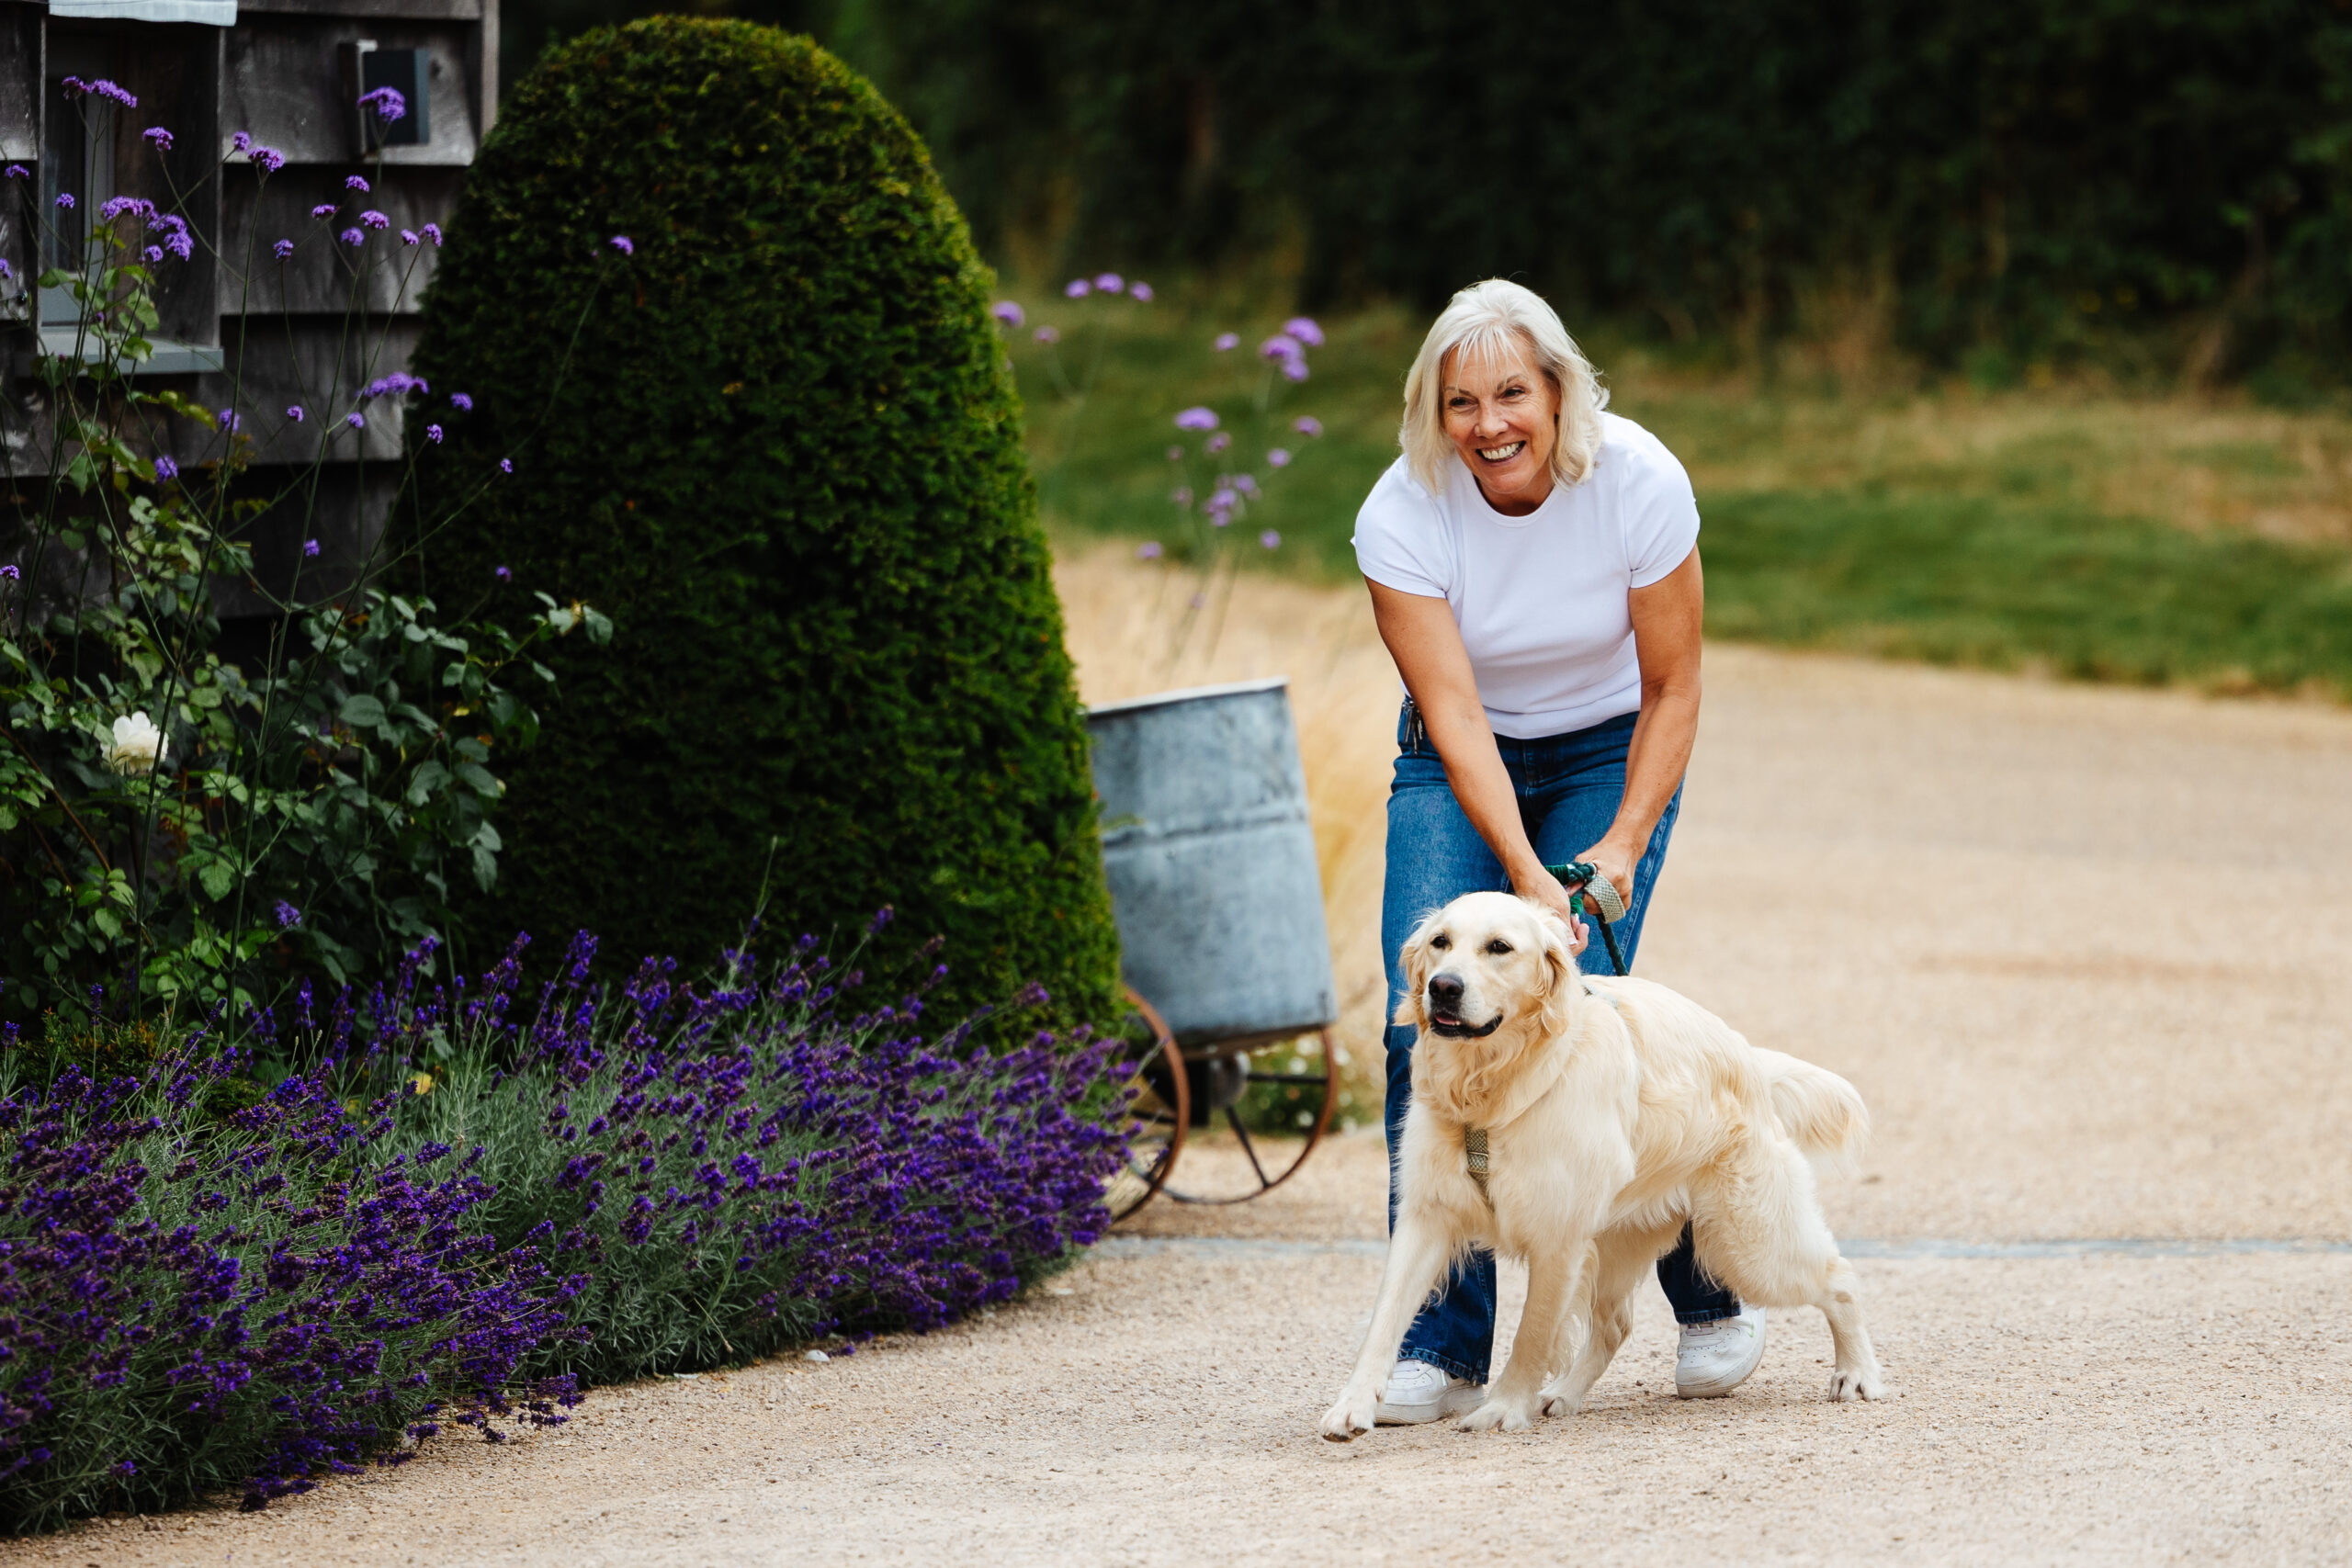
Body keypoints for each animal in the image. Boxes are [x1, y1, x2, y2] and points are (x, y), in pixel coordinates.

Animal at [1326, 888, 1891, 1438]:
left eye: (1499, 948)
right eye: (1440, 942)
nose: (1442, 987)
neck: (1495, 1091)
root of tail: (1749, 1059)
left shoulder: (1558, 1239)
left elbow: (1531, 1335)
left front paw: (1503, 1408)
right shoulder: (1427, 1217)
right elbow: (1383, 1322)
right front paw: (1353, 1407)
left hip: (1750, 1244)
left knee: (1840, 1277)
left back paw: (1856, 1373)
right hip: (1626, 1239)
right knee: (1616, 1325)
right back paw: (1563, 1394)